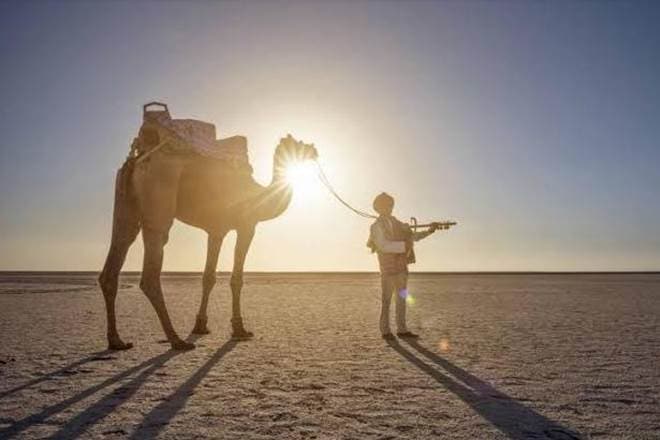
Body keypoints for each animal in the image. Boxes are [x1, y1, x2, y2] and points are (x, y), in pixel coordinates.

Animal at [98, 133, 318, 350]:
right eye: (298, 143)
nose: (314, 150)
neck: (260, 195)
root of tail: (135, 161)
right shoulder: (247, 225)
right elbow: (236, 278)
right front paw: (239, 328)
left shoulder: (216, 230)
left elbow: (208, 277)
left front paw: (200, 325)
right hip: (158, 195)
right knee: (151, 267)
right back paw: (177, 340)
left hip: (126, 205)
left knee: (120, 246)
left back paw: (117, 341)